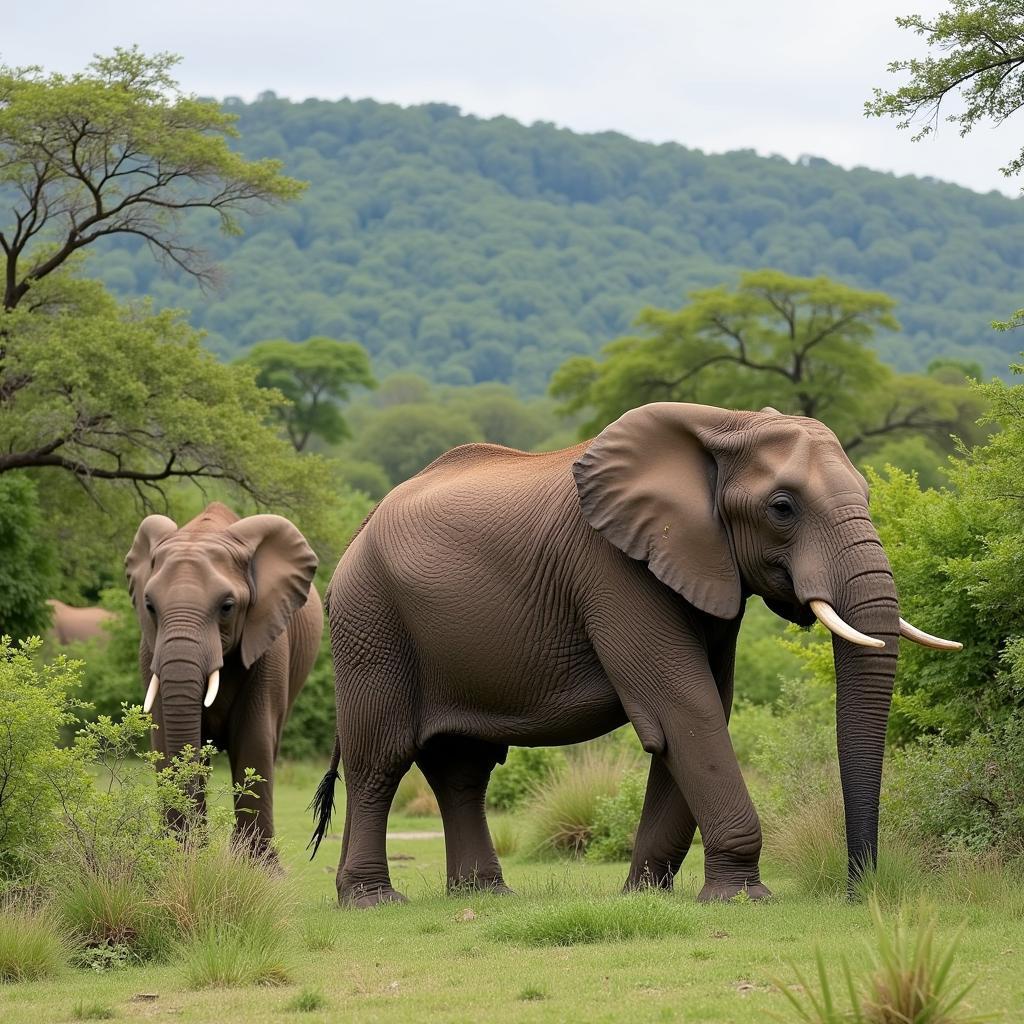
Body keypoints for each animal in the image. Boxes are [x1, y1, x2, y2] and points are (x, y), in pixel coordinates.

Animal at [126, 499, 321, 851]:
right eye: (149, 606)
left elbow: (253, 739)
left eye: (227, 607)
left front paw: (255, 864)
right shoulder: (149, 651)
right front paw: (180, 857)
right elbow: (163, 738)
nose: (193, 845)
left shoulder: (269, 645)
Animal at [307, 403, 954, 909]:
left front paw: (646, 895)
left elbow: (699, 714)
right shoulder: (612, 570)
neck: (724, 425)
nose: (856, 892)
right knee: (380, 759)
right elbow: (683, 706)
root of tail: (358, 532)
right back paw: (372, 902)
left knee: (461, 768)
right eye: (782, 507)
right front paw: (742, 899)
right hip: (373, 622)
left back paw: (485, 895)